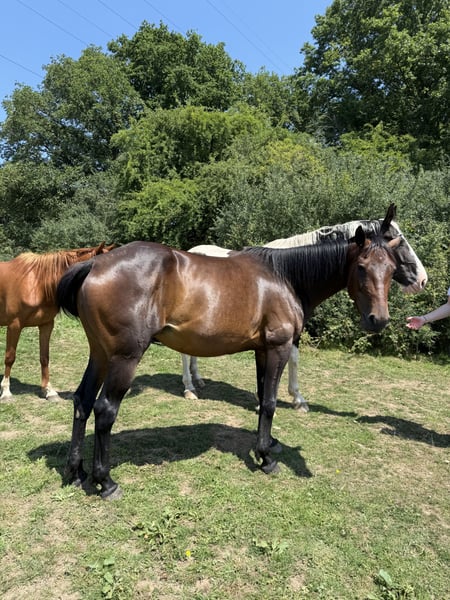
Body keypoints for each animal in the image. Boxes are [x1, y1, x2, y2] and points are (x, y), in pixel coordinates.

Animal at [0, 242, 115, 401]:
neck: (37, 283)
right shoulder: (14, 325)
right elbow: (10, 357)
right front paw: (6, 392)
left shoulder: (46, 325)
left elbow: (44, 358)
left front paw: (48, 391)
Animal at [56, 215, 400, 498]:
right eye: (361, 267)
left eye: (391, 269)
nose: (378, 320)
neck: (284, 277)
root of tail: (95, 265)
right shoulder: (278, 347)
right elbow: (271, 402)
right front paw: (266, 458)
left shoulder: (262, 350)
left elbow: (262, 397)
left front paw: (266, 445)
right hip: (124, 358)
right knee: (104, 410)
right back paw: (106, 482)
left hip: (100, 354)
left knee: (82, 401)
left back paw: (77, 471)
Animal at [183, 204, 427, 410]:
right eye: (396, 240)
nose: (422, 280)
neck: (286, 273)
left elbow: (294, 357)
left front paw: (297, 399)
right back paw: (189, 388)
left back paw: (198, 379)